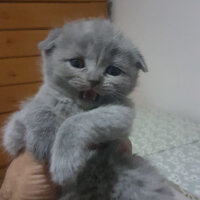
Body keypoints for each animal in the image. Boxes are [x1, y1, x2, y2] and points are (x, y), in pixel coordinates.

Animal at [3, 18, 174, 200]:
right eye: (76, 63)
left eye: (113, 71)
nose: (94, 79)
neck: (78, 106)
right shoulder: (13, 133)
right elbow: (35, 108)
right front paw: (42, 138)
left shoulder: (122, 113)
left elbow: (75, 122)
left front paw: (64, 163)